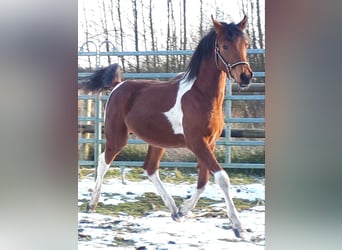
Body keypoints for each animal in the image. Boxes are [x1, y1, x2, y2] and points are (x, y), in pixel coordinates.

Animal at [82, 15, 254, 238]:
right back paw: (91, 204)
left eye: (246, 44)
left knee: (149, 168)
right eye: (225, 45)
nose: (245, 76)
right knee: (104, 161)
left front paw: (183, 210)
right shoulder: (197, 143)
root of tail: (118, 85)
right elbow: (222, 178)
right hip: (117, 137)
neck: (201, 96)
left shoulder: (210, 143)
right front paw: (238, 227)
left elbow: (203, 180)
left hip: (157, 141)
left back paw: (173, 209)